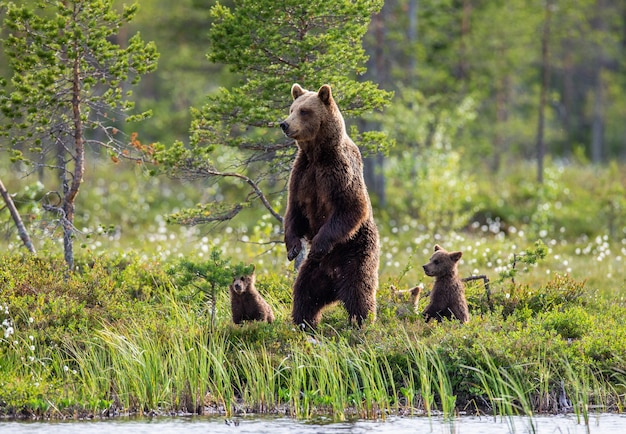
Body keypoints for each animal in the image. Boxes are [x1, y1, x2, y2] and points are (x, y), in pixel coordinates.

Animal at [280, 84, 378, 328]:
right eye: (292, 108)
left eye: (304, 111)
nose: (284, 124)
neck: (317, 154)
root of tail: (334, 281)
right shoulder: (302, 175)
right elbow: (294, 212)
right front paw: (293, 248)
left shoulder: (338, 173)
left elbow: (352, 208)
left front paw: (317, 244)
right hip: (314, 271)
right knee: (305, 292)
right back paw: (304, 322)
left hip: (356, 254)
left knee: (359, 291)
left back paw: (362, 322)